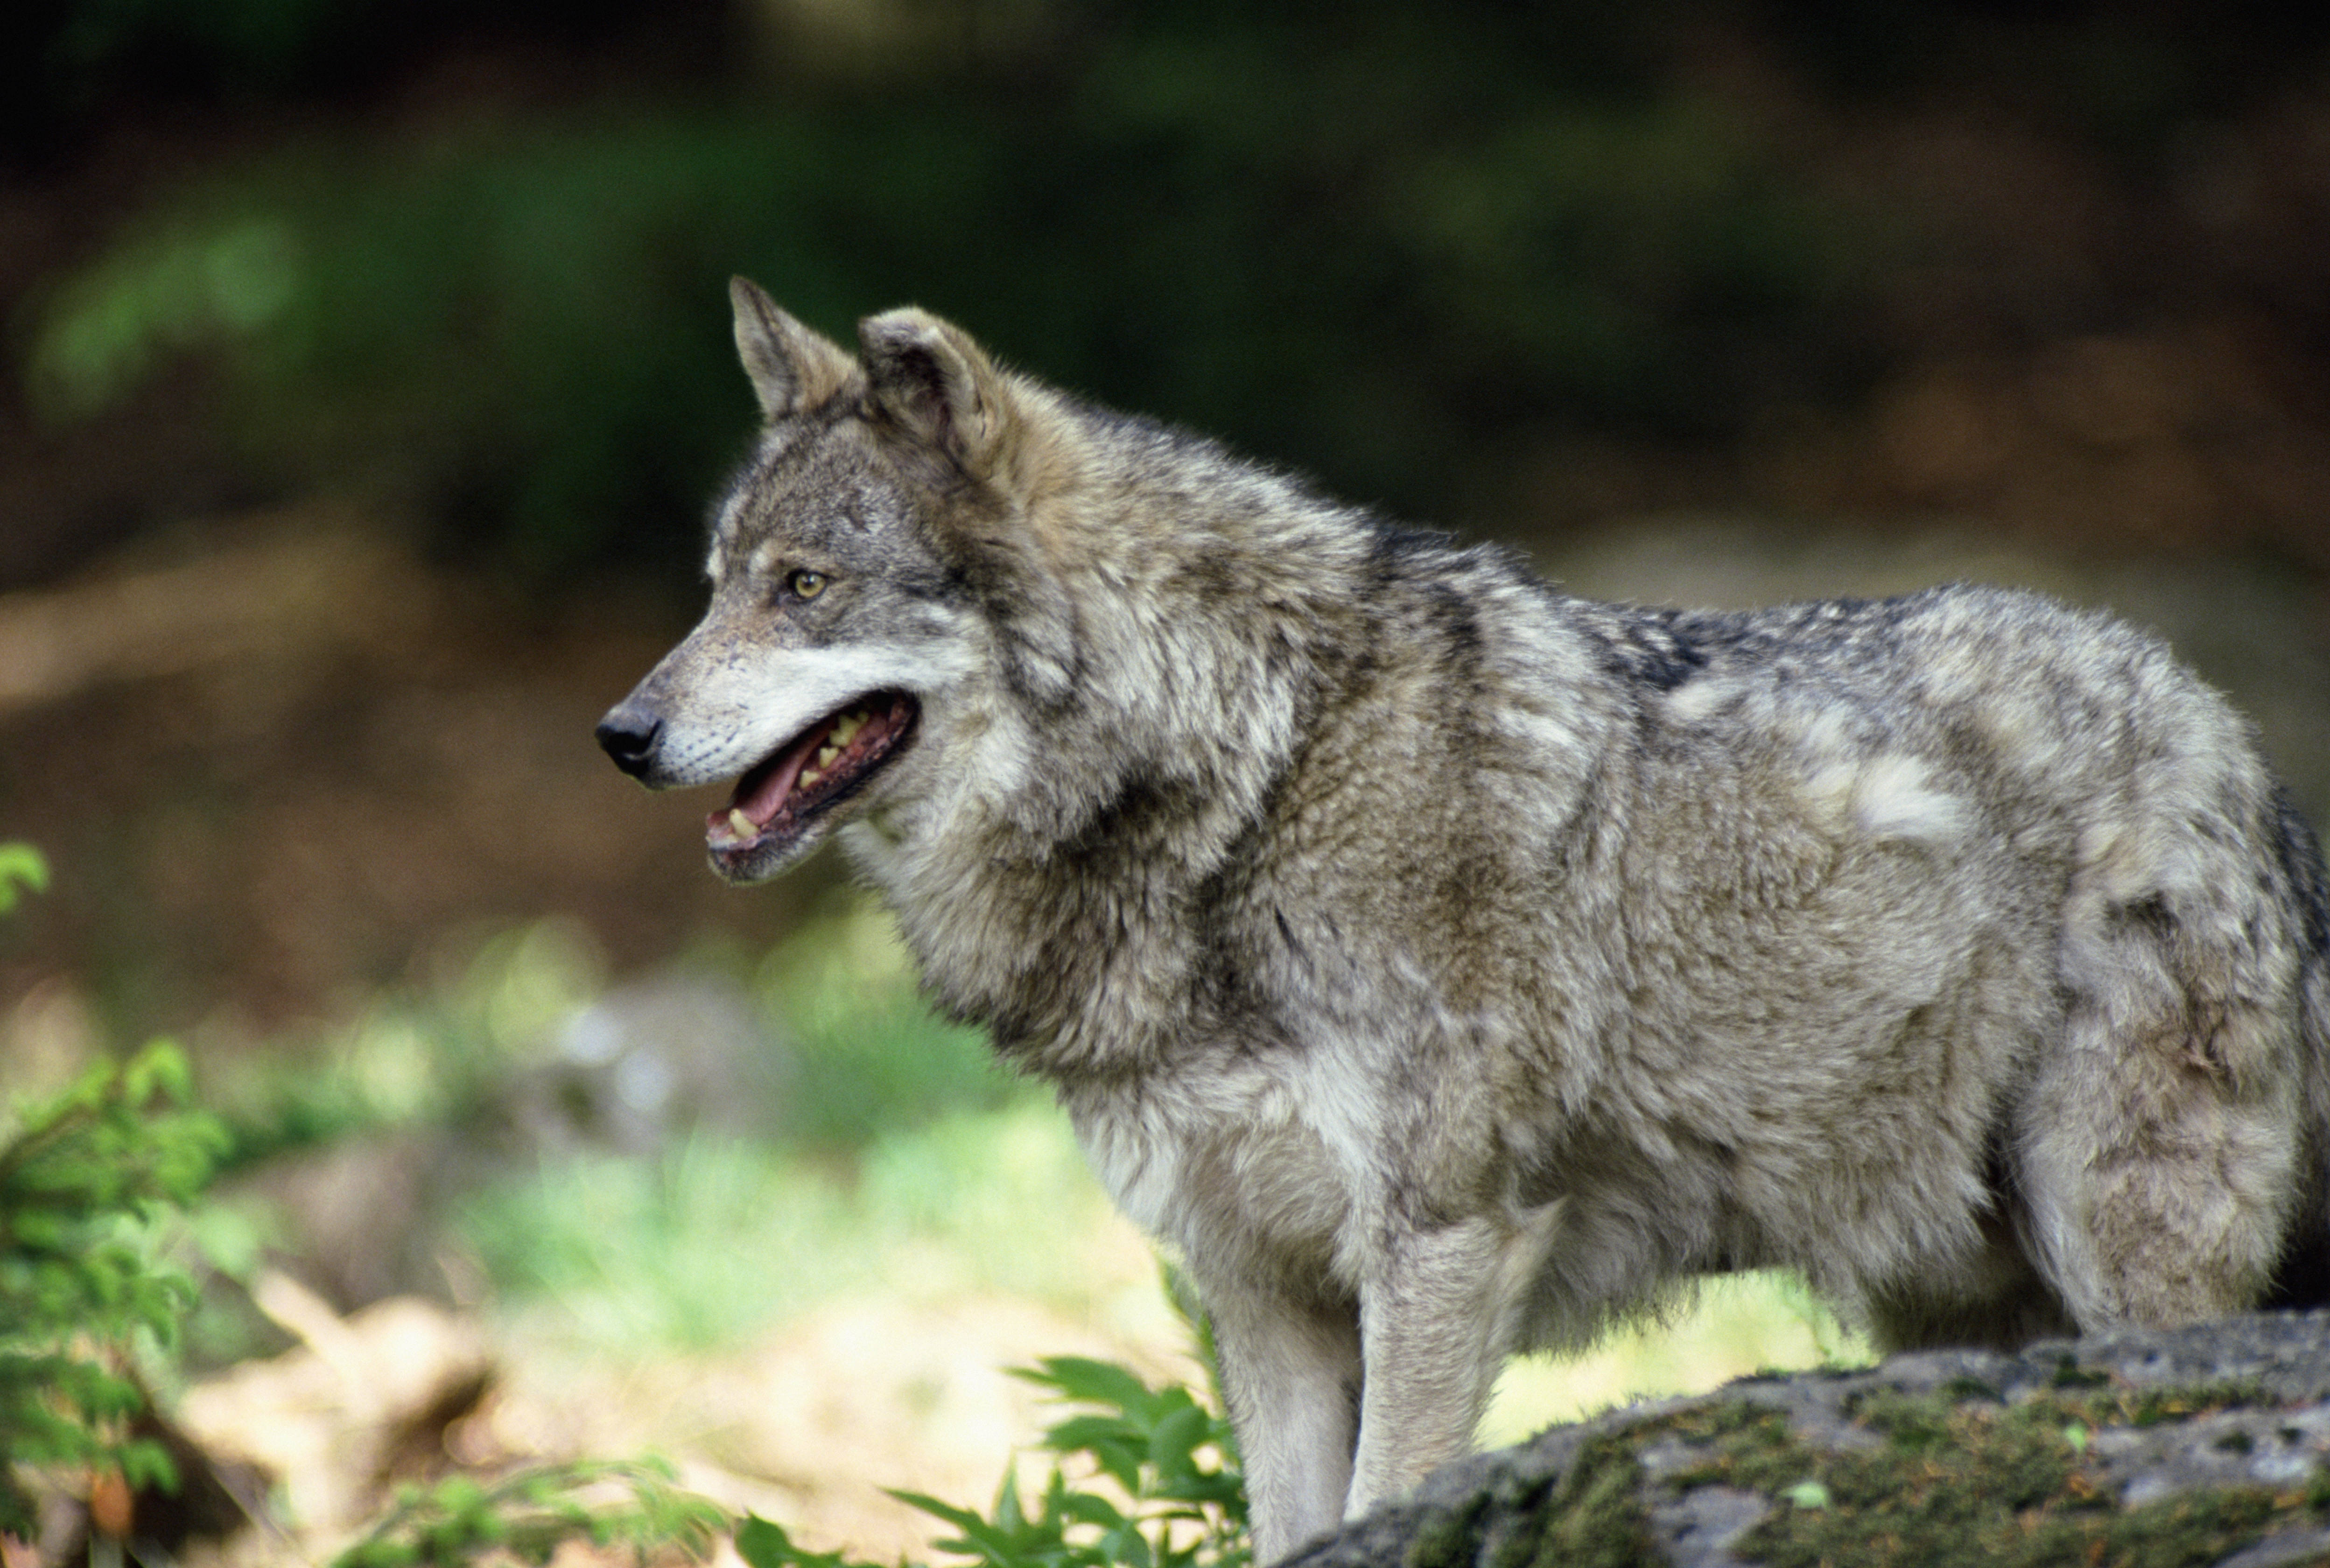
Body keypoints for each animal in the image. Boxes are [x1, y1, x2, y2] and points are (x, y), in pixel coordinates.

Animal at [598, 278, 2330, 1563]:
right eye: (714, 584)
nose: (620, 734)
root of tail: (2229, 741)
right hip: (1945, 1304)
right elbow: (1291, 1531)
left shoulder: (1439, 1243)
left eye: (803, 588)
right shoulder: (1259, 1291)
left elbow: (1383, 1504)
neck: (1250, 778)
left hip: (2116, 1259)